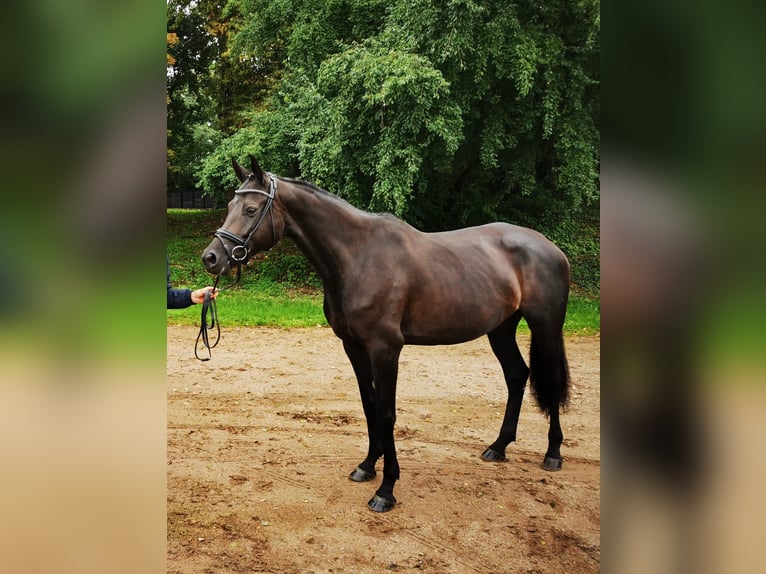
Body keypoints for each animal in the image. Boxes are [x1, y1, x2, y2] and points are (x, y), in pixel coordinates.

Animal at [201, 156, 572, 512]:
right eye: (230, 206)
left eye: (251, 209)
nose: (211, 257)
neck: (359, 257)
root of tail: (550, 248)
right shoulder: (353, 347)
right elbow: (369, 405)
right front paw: (367, 466)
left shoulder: (385, 349)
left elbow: (386, 413)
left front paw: (386, 489)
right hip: (501, 330)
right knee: (517, 375)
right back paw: (498, 446)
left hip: (546, 328)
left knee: (551, 381)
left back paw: (553, 453)